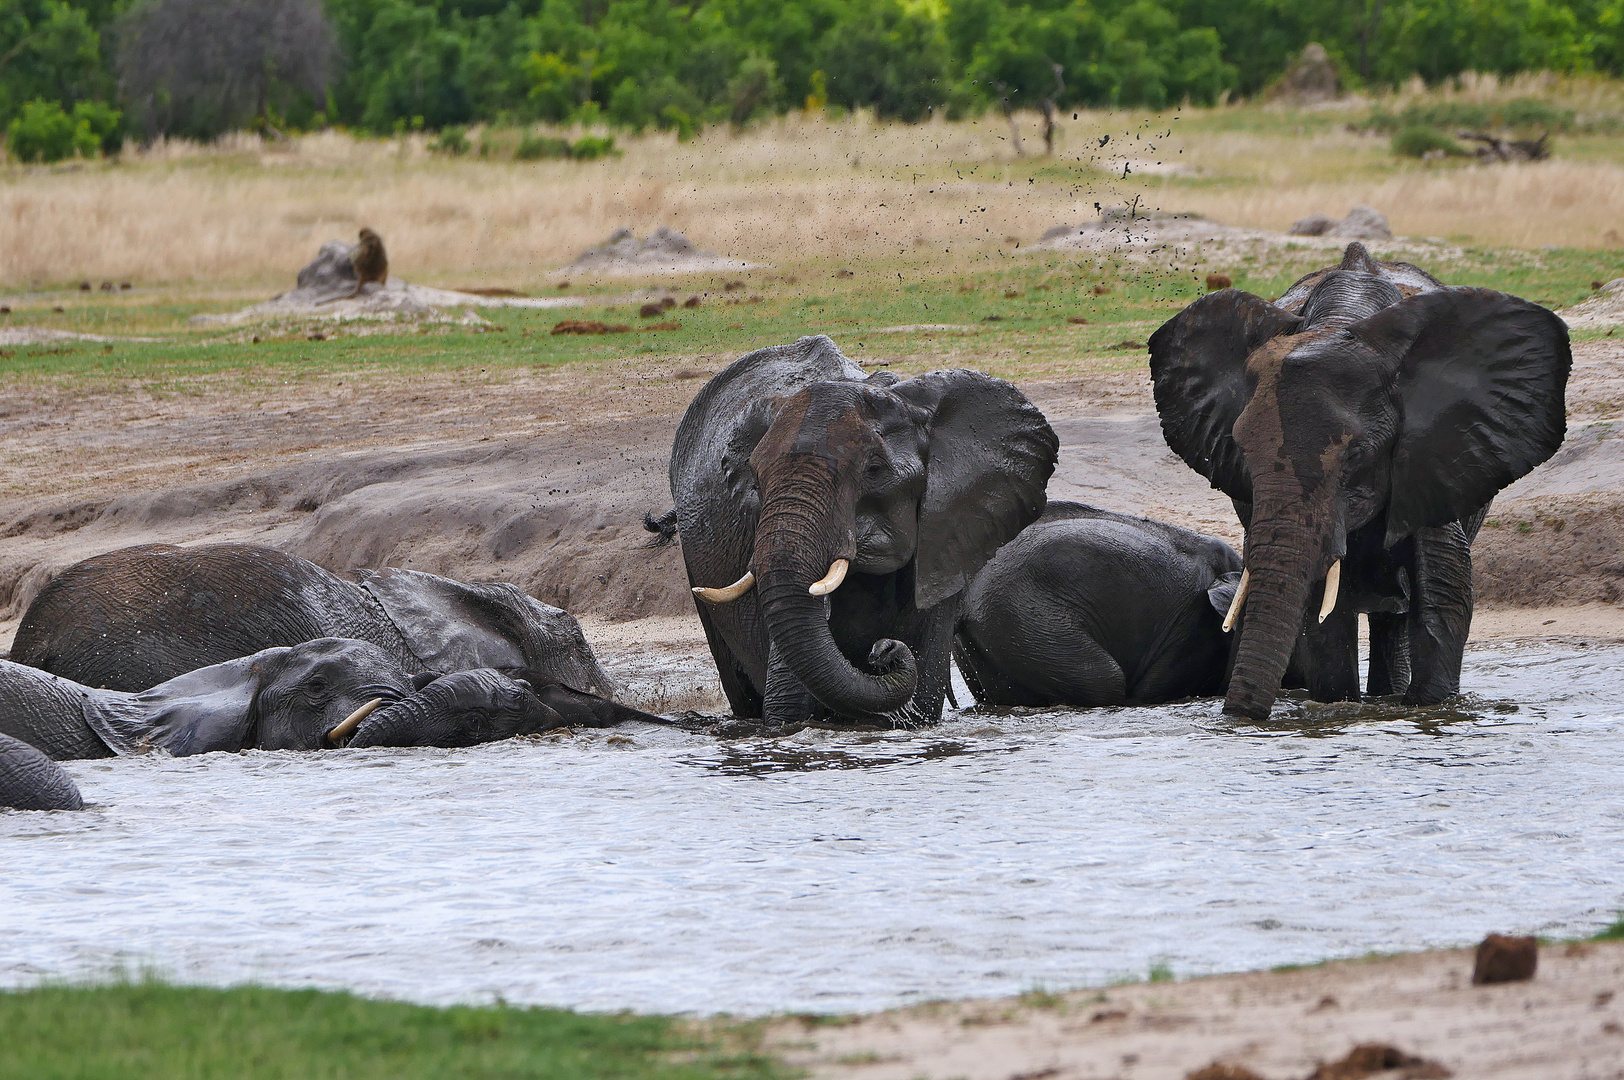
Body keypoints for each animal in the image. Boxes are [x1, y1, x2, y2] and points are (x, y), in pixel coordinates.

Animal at [662, 332, 1058, 727]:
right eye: (756, 482)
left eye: (875, 471)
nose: (883, 650)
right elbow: (786, 701)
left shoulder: (947, 532)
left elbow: (923, 694)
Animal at [1149, 240, 1565, 721]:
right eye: (1241, 452)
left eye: (1357, 455)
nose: (1238, 715)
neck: (1340, 321)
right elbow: (1321, 614)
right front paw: (1341, 709)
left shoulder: (1437, 454)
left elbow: (1443, 596)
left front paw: (1429, 712)